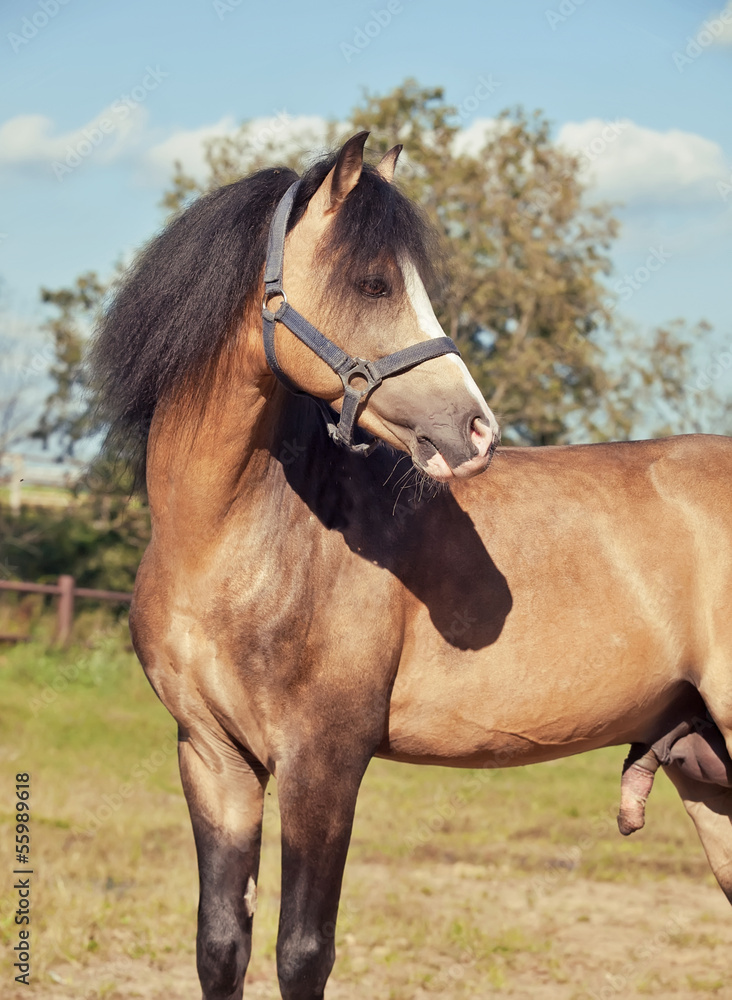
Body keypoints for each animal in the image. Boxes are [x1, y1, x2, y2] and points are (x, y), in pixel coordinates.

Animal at [91, 131, 732, 1000]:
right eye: (374, 282)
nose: (476, 429)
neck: (239, 542)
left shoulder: (323, 763)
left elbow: (303, 950)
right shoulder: (213, 759)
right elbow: (222, 944)